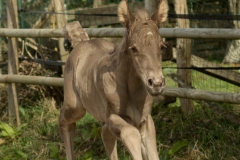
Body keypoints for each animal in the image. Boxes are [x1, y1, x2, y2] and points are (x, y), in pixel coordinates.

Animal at [59, 0, 169, 159]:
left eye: (162, 47)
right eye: (133, 48)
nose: (156, 83)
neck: (130, 90)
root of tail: (81, 43)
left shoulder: (145, 120)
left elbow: (152, 153)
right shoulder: (113, 117)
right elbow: (130, 133)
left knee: (106, 135)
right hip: (75, 107)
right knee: (64, 120)